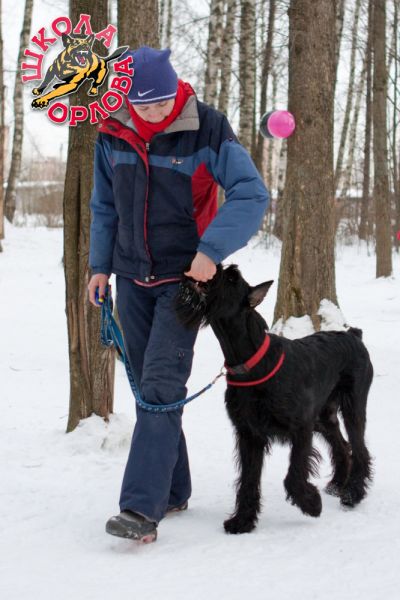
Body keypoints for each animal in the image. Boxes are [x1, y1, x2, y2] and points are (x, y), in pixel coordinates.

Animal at [175, 264, 373, 534]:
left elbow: (293, 475)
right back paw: (337, 484)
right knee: (342, 445)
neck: (250, 361)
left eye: (231, 277)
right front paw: (242, 520)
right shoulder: (249, 433)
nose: (206, 268)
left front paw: (311, 504)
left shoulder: (301, 427)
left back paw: (352, 494)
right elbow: (248, 480)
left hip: (353, 407)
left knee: (360, 448)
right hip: (324, 416)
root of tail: (353, 335)